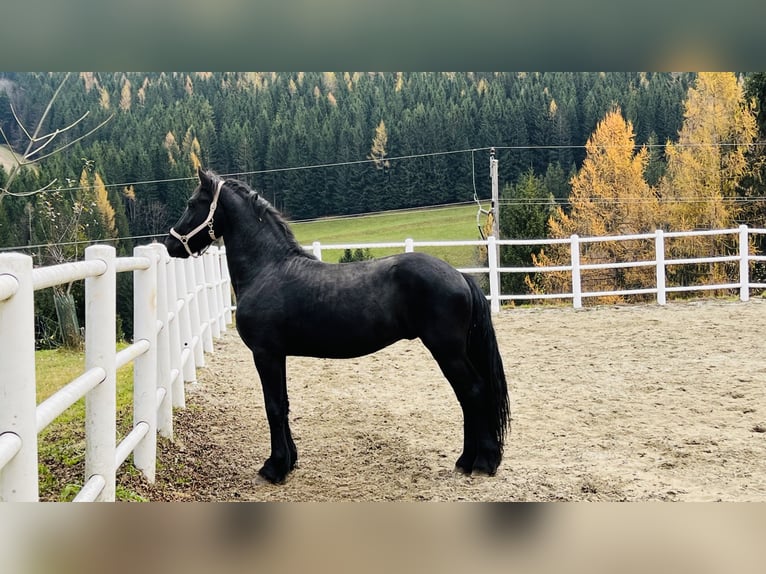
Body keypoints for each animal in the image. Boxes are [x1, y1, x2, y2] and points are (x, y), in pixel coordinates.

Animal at [164, 170, 510, 486]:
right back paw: (467, 460)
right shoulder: (278, 356)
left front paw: (274, 468)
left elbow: (273, 407)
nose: (170, 244)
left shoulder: (265, 354)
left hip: (447, 351)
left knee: (473, 392)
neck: (267, 269)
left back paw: (483, 462)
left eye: (193, 203)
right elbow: (284, 405)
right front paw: (289, 462)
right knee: (467, 397)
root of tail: (459, 275)